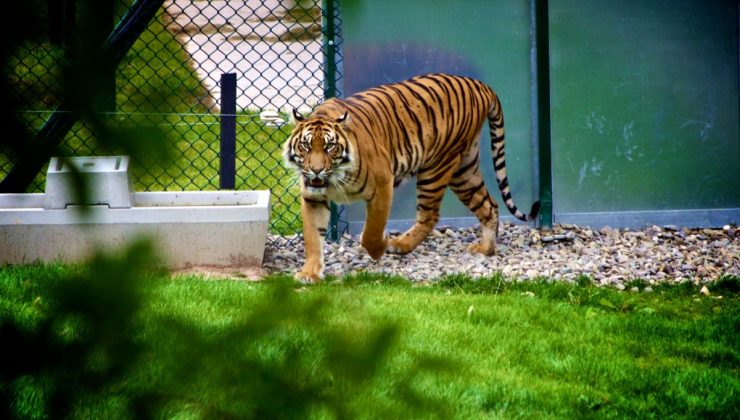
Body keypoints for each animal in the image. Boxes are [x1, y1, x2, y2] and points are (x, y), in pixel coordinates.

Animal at [284, 73, 536, 282]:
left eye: (330, 147)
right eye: (306, 146)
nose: (316, 170)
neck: (334, 177)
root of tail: (479, 85)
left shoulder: (382, 185)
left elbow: (370, 232)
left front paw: (380, 248)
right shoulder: (313, 198)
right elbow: (312, 238)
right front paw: (309, 273)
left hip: (436, 167)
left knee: (430, 215)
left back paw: (400, 245)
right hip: (464, 171)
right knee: (489, 205)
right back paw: (485, 250)